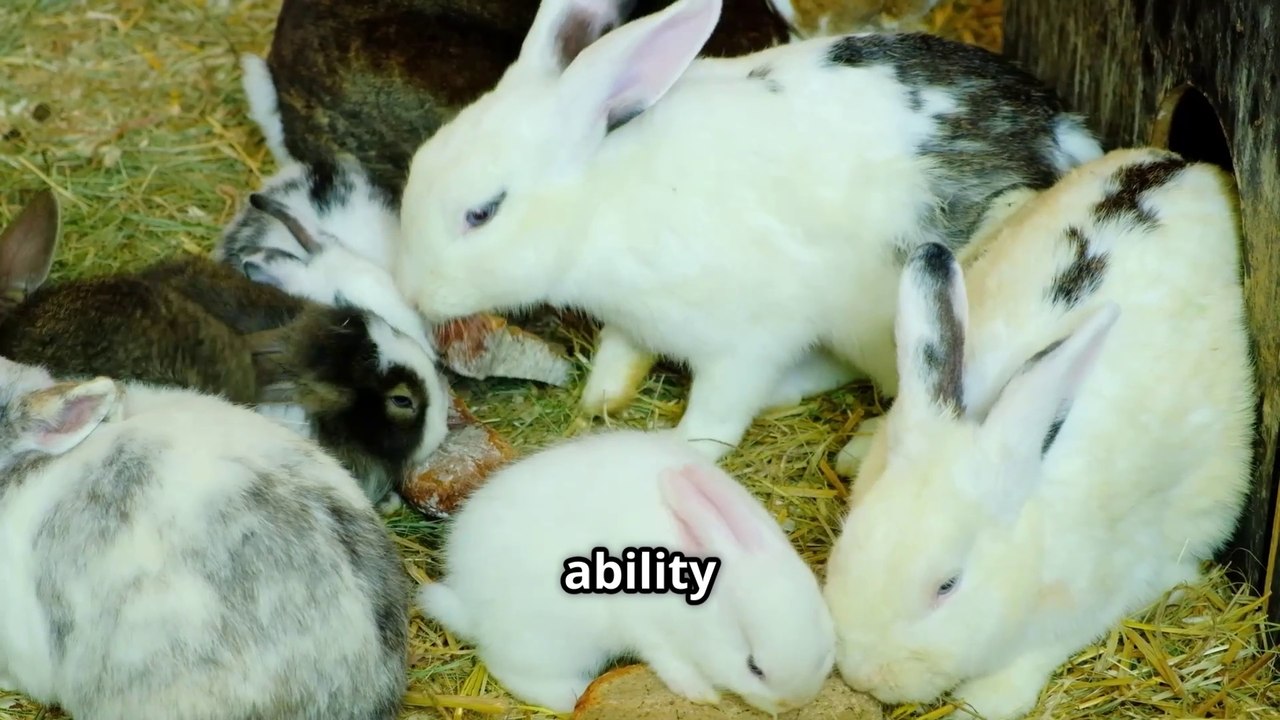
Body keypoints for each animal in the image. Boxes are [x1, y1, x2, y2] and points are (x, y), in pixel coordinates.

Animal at [391, 0, 1105, 465]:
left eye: (482, 213)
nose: (414, 294)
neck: (604, 202)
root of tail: (1068, 137)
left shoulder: (744, 343)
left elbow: (717, 415)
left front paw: (678, 449)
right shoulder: (631, 320)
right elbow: (621, 354)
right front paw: (599, 401)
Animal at [417, 428, 836, 714]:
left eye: (824, 650)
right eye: (754, 668)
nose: (793, 703)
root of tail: (468, 603)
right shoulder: (645, 623)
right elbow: (668, 659)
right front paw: (700, 692)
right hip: (553, 638)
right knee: (510, 669)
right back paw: (571, 695)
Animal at [820, 148, 1255, 720]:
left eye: (947, 586)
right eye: (850, 541)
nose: (863, 674)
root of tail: (1185, 165)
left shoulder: (1098, 593)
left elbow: (1031, 659)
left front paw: (978, 704)